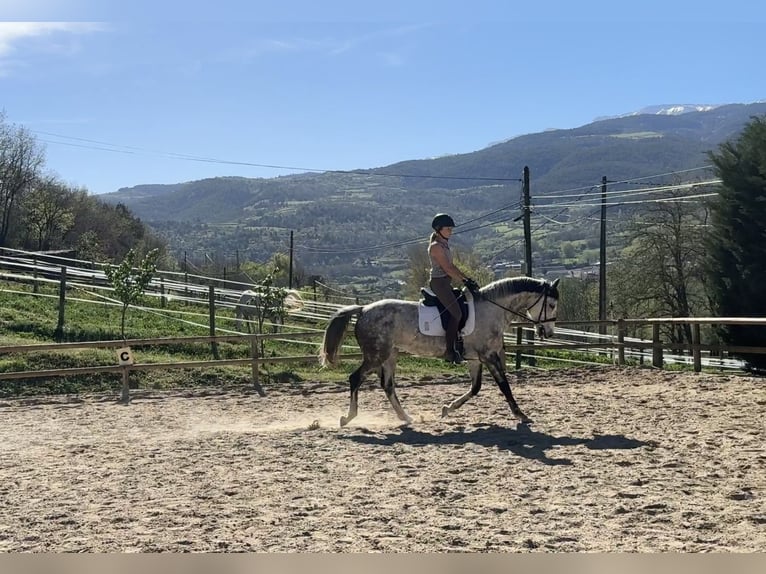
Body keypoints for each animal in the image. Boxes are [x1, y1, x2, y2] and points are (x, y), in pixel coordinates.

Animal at [320, 276, 560, 430]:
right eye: (551, 304)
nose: (547, 332)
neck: (492, 310)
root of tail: (363, 310)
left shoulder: (475, 359)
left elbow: (475, 388)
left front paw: (447, 409)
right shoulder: (489, 356)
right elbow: (504, 386)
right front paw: (521, 414)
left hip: (390, 355)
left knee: (387, 386)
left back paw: (406, 417)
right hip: (376, 356)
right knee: (355, 378)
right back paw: (348, 418)